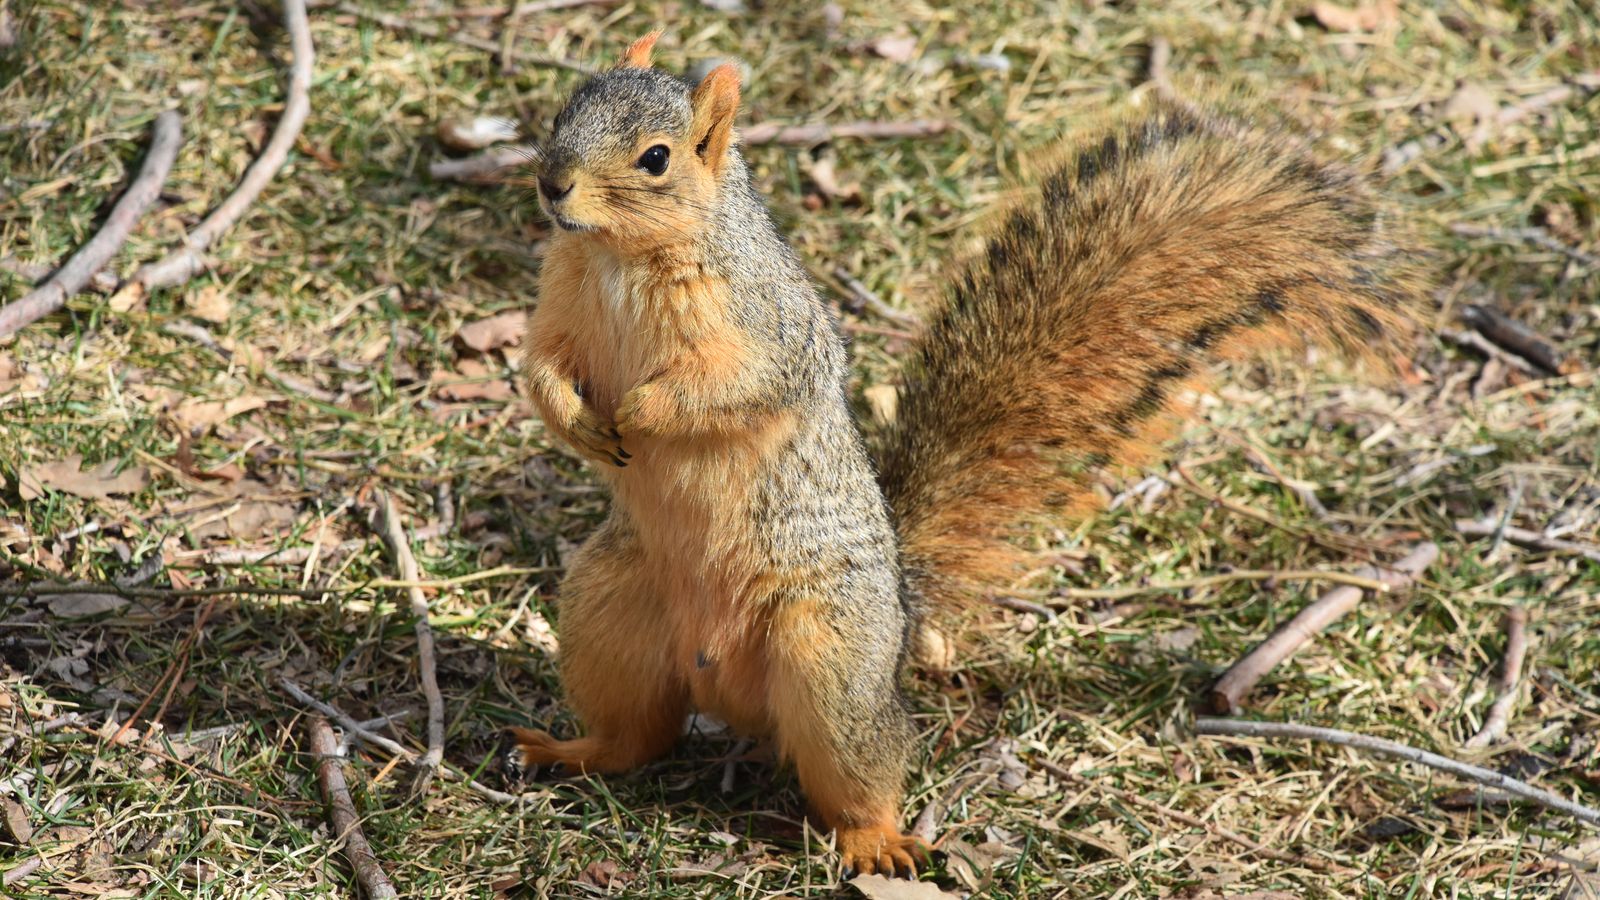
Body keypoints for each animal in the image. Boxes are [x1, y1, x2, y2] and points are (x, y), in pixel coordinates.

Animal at [509, 31, 1421, 878]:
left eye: (655, 159)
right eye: (565, 109)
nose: (552, 184)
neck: (617, 257)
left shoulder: (765, 327)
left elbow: (734, 386)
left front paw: (642, 408)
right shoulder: (559, 301)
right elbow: (540, 367)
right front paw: (579, 418)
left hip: (829, 656)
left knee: (863, 765)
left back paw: (876, 840)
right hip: (609, 607)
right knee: (637, 737)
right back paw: (566, 752)